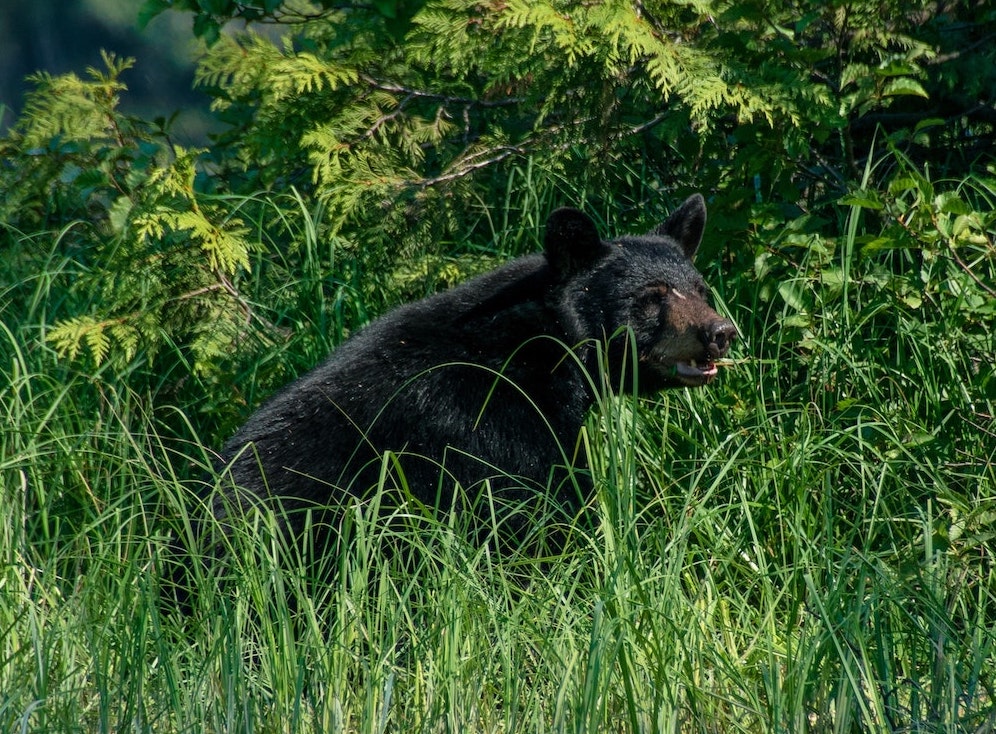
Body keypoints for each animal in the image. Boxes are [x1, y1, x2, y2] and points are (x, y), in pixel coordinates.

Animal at [214, 196, 736, 552]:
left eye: (700, 288)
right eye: (652, 295)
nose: (721, 332)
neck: (543, 347)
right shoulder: (492, 424)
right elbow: (539, 509)